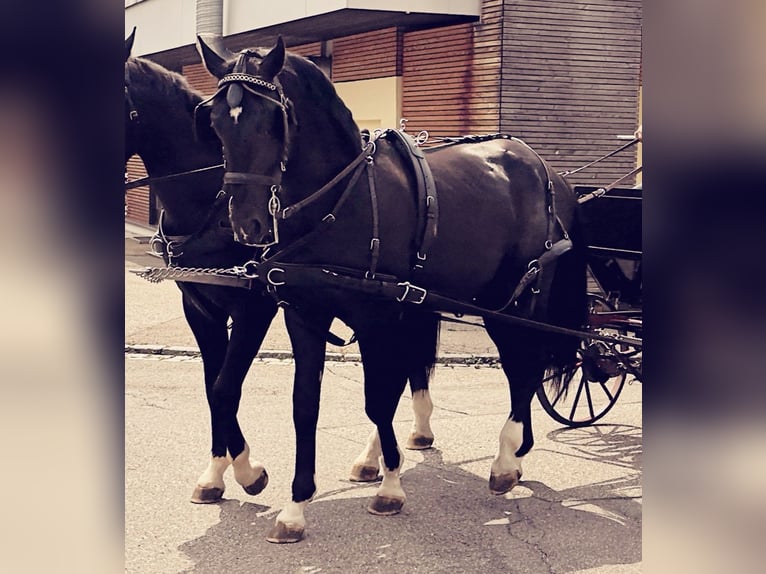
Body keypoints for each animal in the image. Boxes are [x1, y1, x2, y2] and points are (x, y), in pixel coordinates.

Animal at [125, 31, 439, 507]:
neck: (209, 203)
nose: (248, 225)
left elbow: (225, 386)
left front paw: (247, 471)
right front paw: (218, 472)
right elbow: (213, 387)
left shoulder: (255, 309)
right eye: (214, 124)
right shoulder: (199, 309)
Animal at [195, 35, 588, 543]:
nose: (247, 224)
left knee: (524, 366)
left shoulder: (376, 317)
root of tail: (548, 171)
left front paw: (391, 487)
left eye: (272, 120)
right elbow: (307, 405)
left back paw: (506, 458)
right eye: (216, 123)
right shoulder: (306, 313)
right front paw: (297, 505)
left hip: (517, 300)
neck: (340, 199)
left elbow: (378, 397)